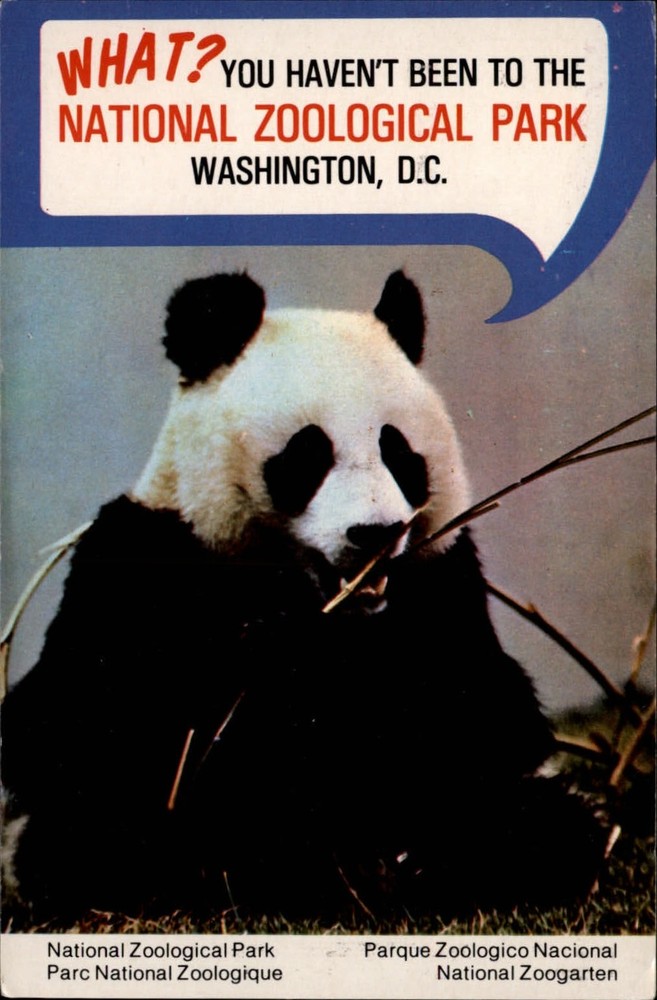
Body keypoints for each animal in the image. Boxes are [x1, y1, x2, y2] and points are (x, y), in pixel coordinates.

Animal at [1, 270, 603, 922]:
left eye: (398, 452)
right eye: (308, 454)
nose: (375, 534)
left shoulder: (441, 580)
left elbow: (488, 718)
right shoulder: (145, 562)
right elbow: (82, 724)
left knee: (540, 825)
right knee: (97, 840)